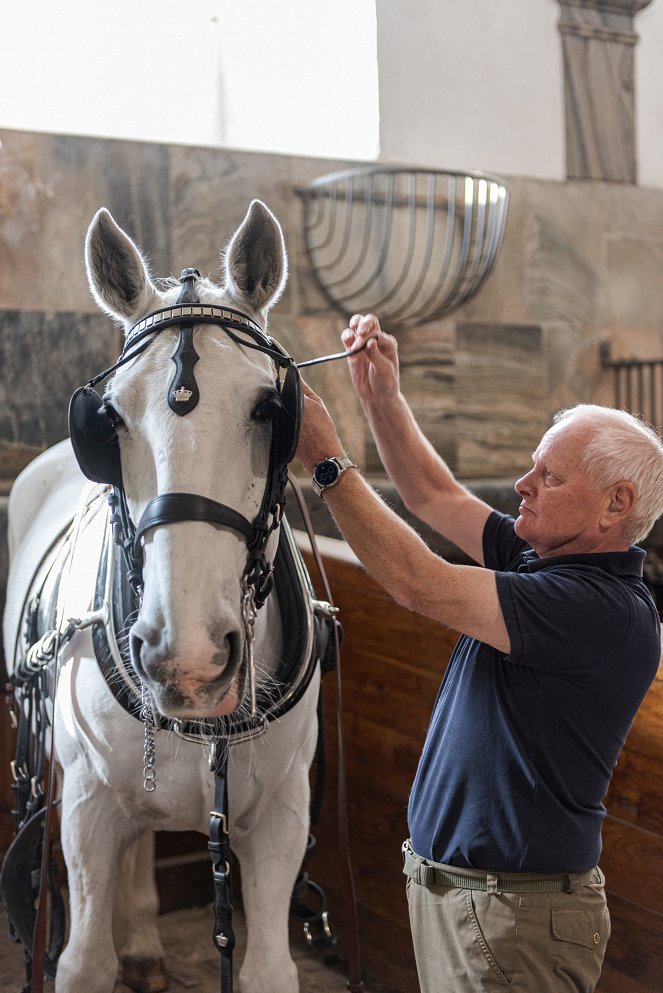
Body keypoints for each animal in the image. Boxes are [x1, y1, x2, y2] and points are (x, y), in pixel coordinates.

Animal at [2, 202, 324, 992]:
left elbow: (268, 969)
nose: (190, 658)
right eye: (108, 418)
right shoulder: (86, 805)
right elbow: (83, 961)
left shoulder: (282, 815)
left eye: (269, 408)